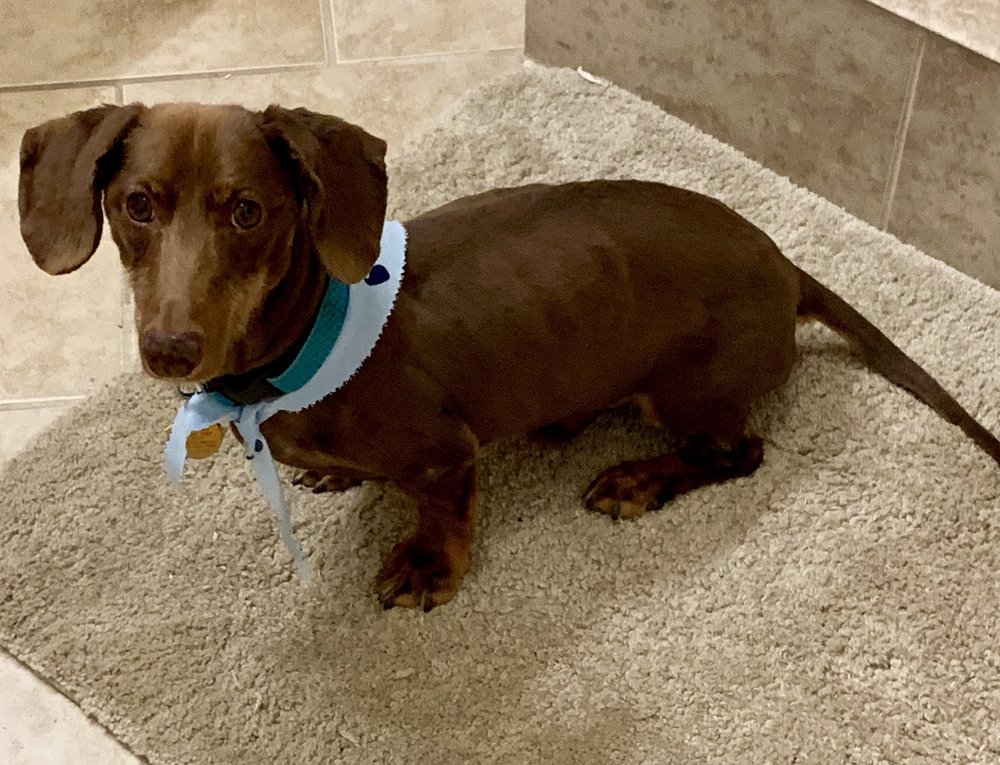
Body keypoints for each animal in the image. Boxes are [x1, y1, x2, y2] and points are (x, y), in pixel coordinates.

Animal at [18, 104, 1000, 610]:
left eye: (248, 211)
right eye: (137, 203)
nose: (168, 348)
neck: (304, 339)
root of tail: (788, 267)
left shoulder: (445, 454)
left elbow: (446, 516)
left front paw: (430, 567)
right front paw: (337, 475)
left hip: (685, 393)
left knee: (739, 451)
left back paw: (640, 478)